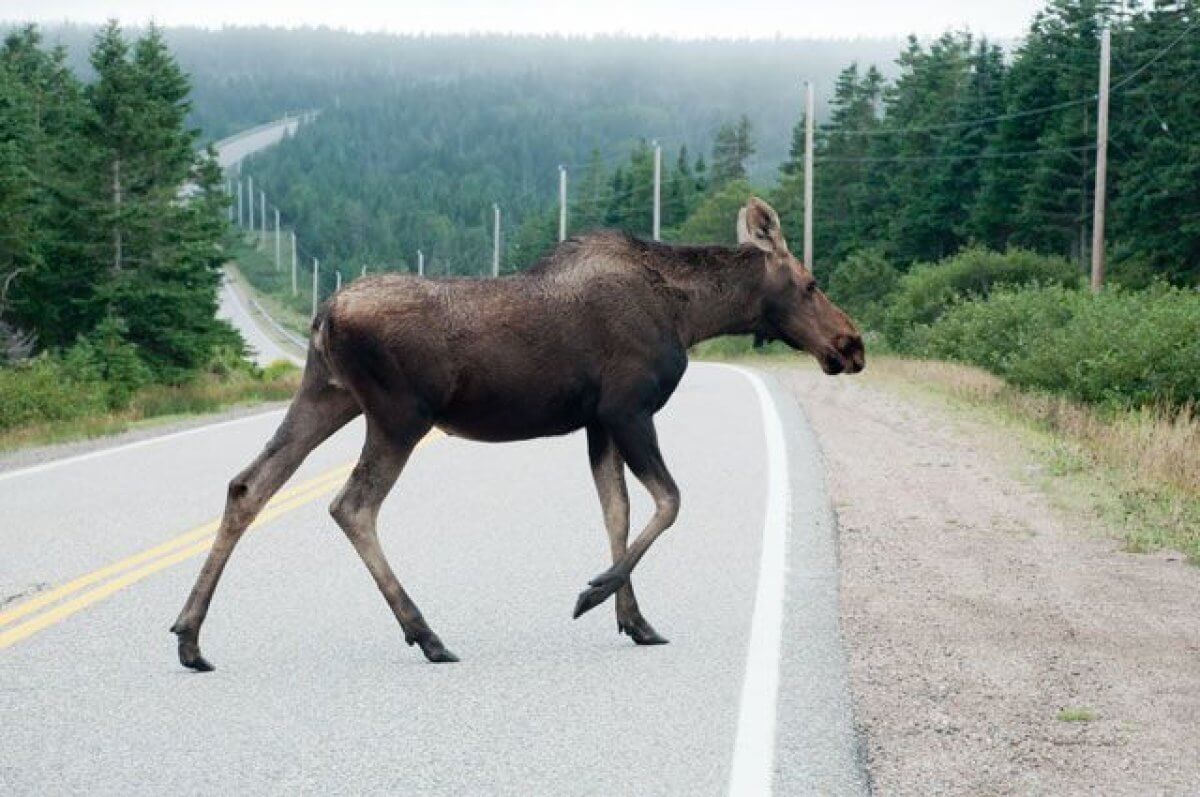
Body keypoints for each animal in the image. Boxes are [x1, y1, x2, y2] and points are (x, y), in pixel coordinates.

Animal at [169, 195, 864, 667]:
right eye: (810, 283)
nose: (851, 345)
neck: (690, 314)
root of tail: (323, 316)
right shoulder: (628, 409)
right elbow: (669, 501)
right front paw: (593, 593)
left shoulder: (597, 422)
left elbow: (617, 511)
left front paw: (635, 620)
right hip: (398, 415)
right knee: (351, 505)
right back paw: (427, 634)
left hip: (327, 396)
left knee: (249, 485)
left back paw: (190, 636)